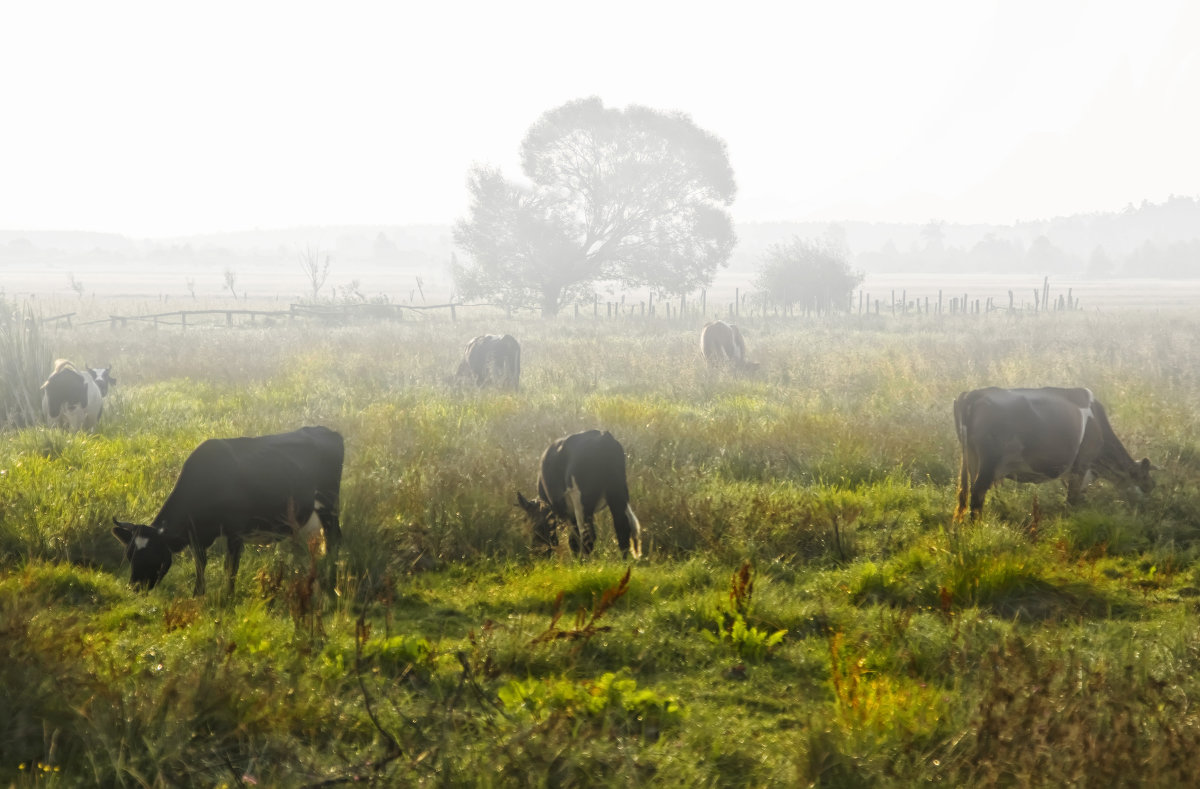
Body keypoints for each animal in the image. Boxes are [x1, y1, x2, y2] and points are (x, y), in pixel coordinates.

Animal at [111, 426, 343, 592]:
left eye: (153, 554)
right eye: (130, 555)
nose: (134, 588)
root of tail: (325, 430)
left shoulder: (235, 532)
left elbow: (230, 567)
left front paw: (227, 597)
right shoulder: (196, 535)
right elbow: (200, 565)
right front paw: (198, 594)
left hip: (328, 505)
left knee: (334, 539)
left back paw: (332, 577)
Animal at [518, 426, 648, 556]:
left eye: (530, 522)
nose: (536, 551)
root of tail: (603, 437)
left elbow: (573, 540)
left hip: (582, 500)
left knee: (587, 536)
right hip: (617, 492)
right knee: (622, 528)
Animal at [955, 386, 1152, 520]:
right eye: (1145, 481)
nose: (1149, 503)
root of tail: (976, 393)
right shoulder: (1083, 462)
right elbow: (1072, 499)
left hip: (971, 460)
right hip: (988, 463)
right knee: (977, 493)